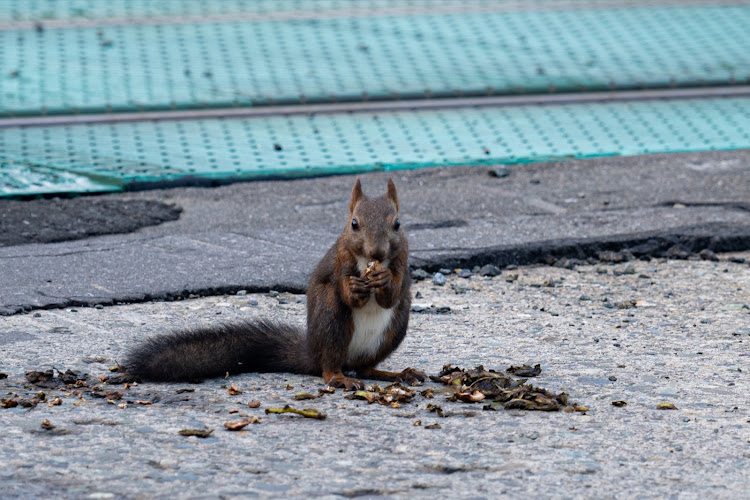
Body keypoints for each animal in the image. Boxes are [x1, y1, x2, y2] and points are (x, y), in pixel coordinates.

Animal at [126, 180, 426, 390]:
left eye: (397, 224)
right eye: (354, 224)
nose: (377, 251)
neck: (369, 263)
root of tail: (313, 353)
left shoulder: (402, 259)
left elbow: (392, 295)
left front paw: (384, 280)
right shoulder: (341, 260)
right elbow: (346, 290)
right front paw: (354, 289)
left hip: (395, 326)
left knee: (366, 368)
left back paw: (398, 374)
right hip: (331, 319)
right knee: (329, 367)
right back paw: (341, 378)